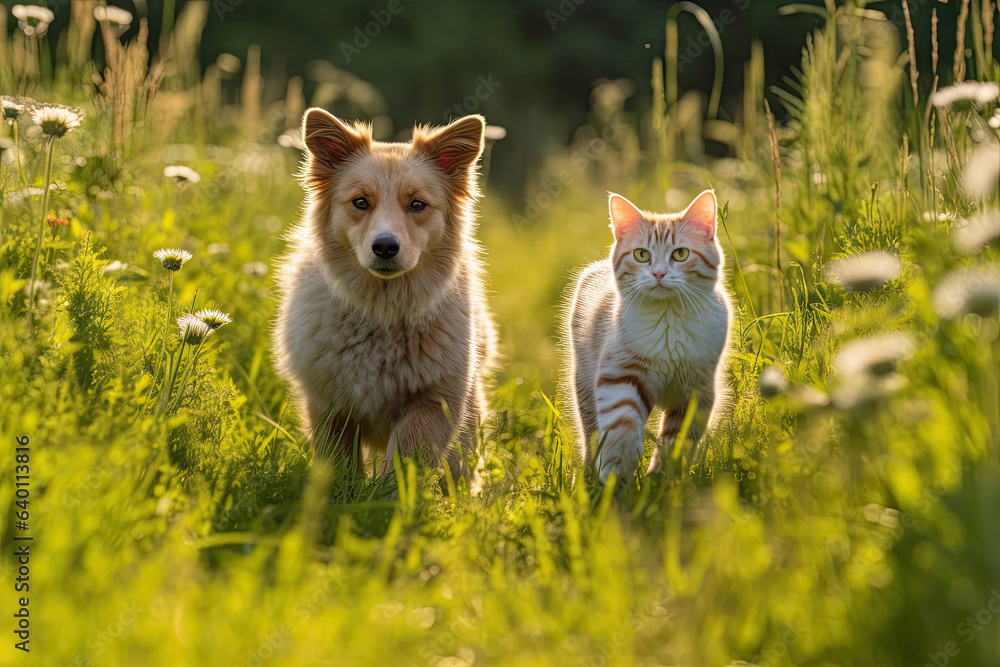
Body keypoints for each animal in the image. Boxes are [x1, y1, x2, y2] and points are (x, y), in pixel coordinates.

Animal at [274, 111, 496, 480]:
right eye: (361, 202)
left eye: (417, 204)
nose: (385, 246)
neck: (383, 311)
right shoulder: (330, 405)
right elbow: (340, 466)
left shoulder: (432, 405)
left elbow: (402, 466)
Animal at [564, 190, 736, 482]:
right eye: (642, 255)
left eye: (680, 254)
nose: (658, 273)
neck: (668, 322)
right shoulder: (620, 376)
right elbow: (621, 429)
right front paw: (616, 477)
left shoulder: (694, 390)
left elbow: (676, 441)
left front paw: (661, 479)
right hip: (584, 384)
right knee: (590, 435)